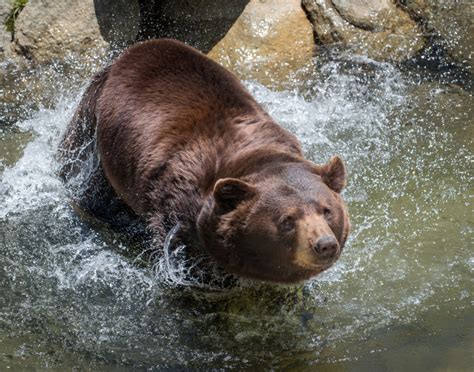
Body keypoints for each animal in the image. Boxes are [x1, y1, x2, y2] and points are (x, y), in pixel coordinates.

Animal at [57, 39, 350, 284]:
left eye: (327, 210)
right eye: (287, 219)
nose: (324, 244)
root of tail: (129, 52)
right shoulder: (178, 199)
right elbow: (180, 248)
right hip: (95, 134)